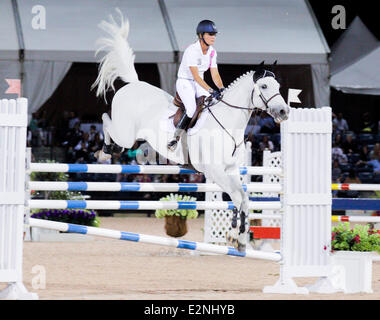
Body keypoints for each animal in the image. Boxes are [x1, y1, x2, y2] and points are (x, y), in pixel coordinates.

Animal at [91, 10, 288, 252]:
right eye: (263, 86)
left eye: (278, 86)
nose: (284, 111)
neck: (228, 122)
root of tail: (134, 84)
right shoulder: (215, 172)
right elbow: (236, 197)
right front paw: (234, 236)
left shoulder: (232, 170)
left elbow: (243, 198)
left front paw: (239, 238)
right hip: (125, 134)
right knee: (105, 120)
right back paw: (104, 152)